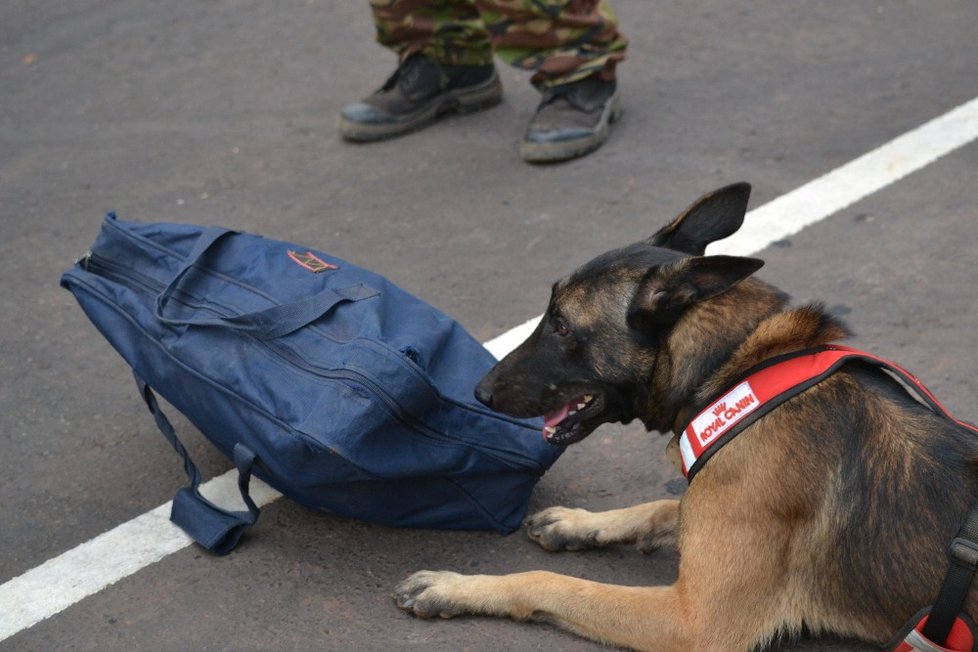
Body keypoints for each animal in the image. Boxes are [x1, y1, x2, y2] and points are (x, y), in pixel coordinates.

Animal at [390, 183, 976, 652]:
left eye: (560, 325)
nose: (479, 391)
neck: (735, 366)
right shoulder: (705, 511)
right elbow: (665, 505)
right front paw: (583, 523)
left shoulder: (692, 622)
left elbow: (553, 582)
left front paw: (457, 587)